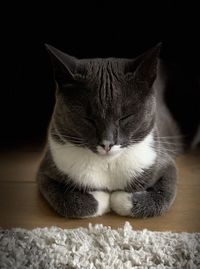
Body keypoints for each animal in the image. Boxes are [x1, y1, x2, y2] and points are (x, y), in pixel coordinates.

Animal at [36, 43, 183, 217]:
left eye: (125, 117)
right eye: (88, 119)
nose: (107, 143)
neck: (107, 165)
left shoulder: (165, 163)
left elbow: (162, 195)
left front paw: (120, 199)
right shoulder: (46, 171)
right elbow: (70, 202)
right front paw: (102, 198)